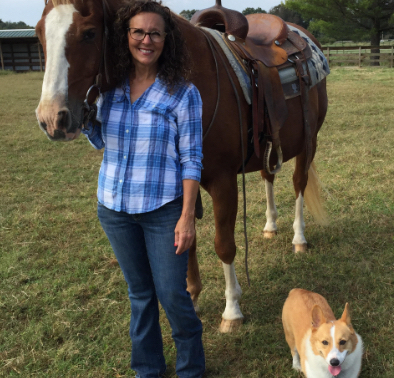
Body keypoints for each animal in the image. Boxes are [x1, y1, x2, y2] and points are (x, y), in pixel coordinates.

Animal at [35, 0, 328, 332]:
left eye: (89, 33)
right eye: (39, 34)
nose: (52, 119)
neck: (198, 79)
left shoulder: (223, 181)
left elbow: (223, 243)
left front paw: (232, 310)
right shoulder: (181, 184)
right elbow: (184, 242)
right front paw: (192, 296)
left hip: (309, 142)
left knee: (299, 184)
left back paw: (298, 239)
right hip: (270, 146)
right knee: (269, 176)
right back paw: (270, 226)